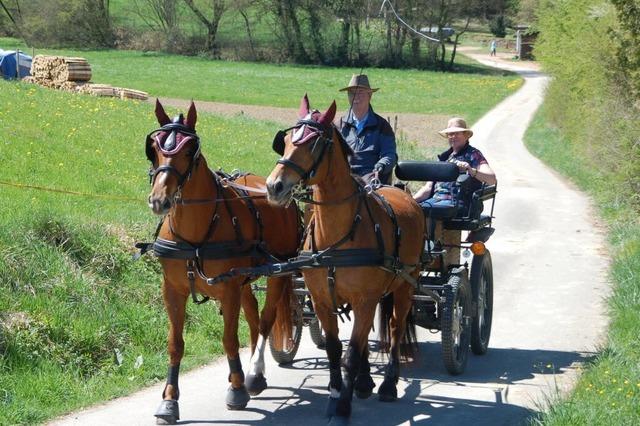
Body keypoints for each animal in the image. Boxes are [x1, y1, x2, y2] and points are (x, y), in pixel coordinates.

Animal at [144, 99, 298, 422]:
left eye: (188, 151)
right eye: (154, 147)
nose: (159, 200)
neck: (196, 236)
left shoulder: (228, 289)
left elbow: (229, 338)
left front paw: (237, 389)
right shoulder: (172, 290)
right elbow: (175, 344)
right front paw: (169, 400)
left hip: (278, 272)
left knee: (265, 320)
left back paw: (253, 374)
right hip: (245, 280)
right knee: (252, 316)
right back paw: (254, 372)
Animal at [264, 95, 424, 424]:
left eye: (313, 144)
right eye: (285, 141)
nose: (274, 186)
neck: (337, 236)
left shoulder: (364, 299)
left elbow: (351, 353)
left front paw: (342, 408)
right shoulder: (323, 299)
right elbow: (337, 350)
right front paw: (337, 395)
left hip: (405, 285)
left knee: (395, 327)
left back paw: (388, 384)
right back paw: (364, 382)